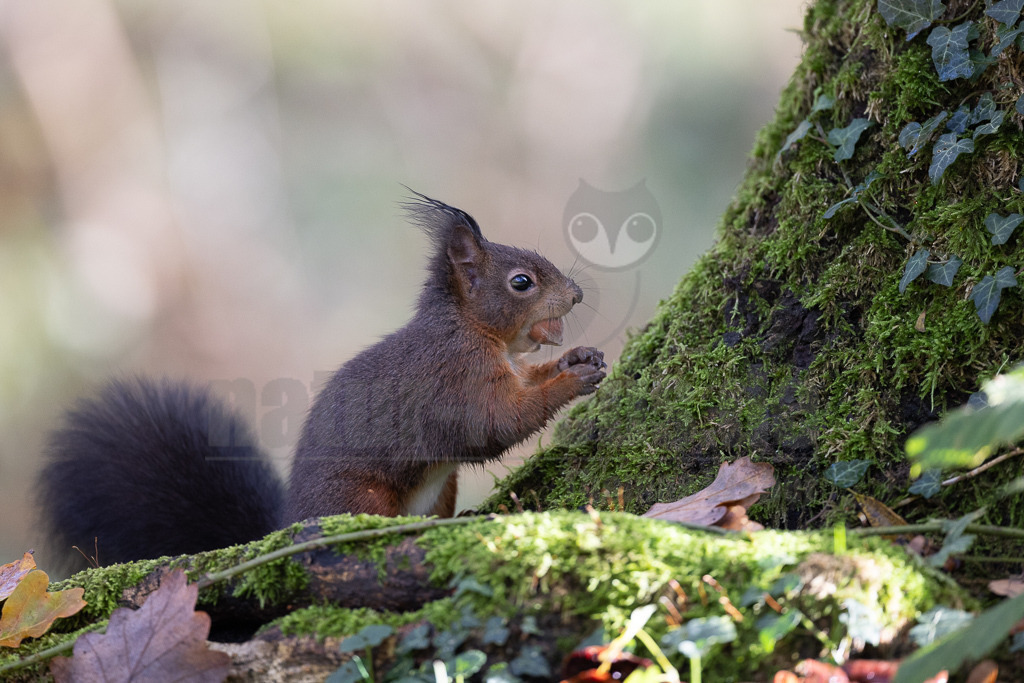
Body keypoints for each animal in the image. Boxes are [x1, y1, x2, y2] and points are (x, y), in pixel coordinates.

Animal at [35, 194, 606, 567]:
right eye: (521, 282)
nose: (578, 293)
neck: (471, 328)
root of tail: (289, 524)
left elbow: (526, 383)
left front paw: (580, 357)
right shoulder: (453, 376)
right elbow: (494, 423)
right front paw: (571, 381)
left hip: (440, 490)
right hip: (360, 499)